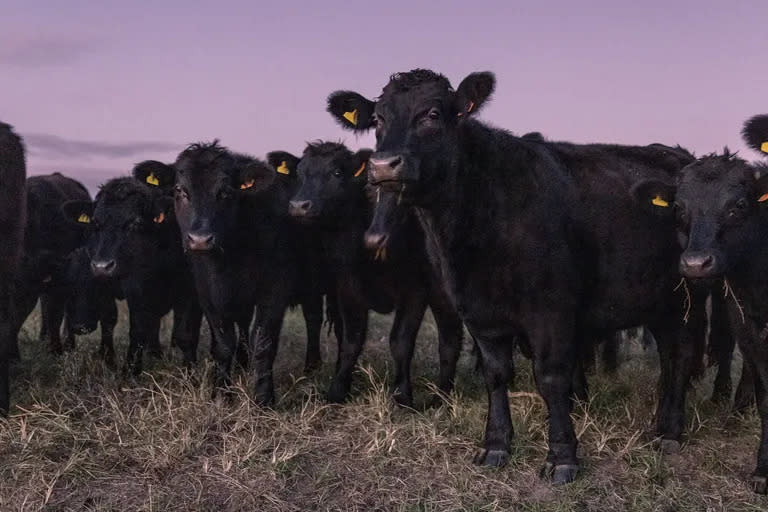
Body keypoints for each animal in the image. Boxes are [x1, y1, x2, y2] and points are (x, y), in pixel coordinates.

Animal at [62, 170, 202, 374]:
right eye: (96, 223)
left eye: (135, 223)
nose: (102, 266)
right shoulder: (134, 287)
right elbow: (133, 327)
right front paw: (127, 367)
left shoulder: (189, 287)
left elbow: (185, 333)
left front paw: (190, 370)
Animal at [172, 141, 326, 404]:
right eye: (181, 191)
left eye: (225, 192)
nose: (200, 240)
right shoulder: (207, 294)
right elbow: (224, 345)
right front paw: (221, 394)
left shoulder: (275, 291)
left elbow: (263, 343)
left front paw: (263, 398)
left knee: (313, 319)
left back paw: (311, 367)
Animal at [280, 142, 462, 406]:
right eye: (300, 172)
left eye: (337, 172)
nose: (298, 206)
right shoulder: (348, 289)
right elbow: (350, 340)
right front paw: (337, 390)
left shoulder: (414, 292)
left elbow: (400, 342)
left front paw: (402, 395)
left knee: (450, 337)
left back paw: (442, 396)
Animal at [328, 69, 704, 484]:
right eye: (378, 119)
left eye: (432, 114)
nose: (382, 167)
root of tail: (675, 154)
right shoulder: (478, 311)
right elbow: (496, 375)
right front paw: (496, 445)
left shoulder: (551, 309)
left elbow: (551, 377)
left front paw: (562, 457)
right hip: (657, 299)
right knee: (669, 356)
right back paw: (659, 424)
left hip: (688, 296)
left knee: (682, 354)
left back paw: (670, 433)